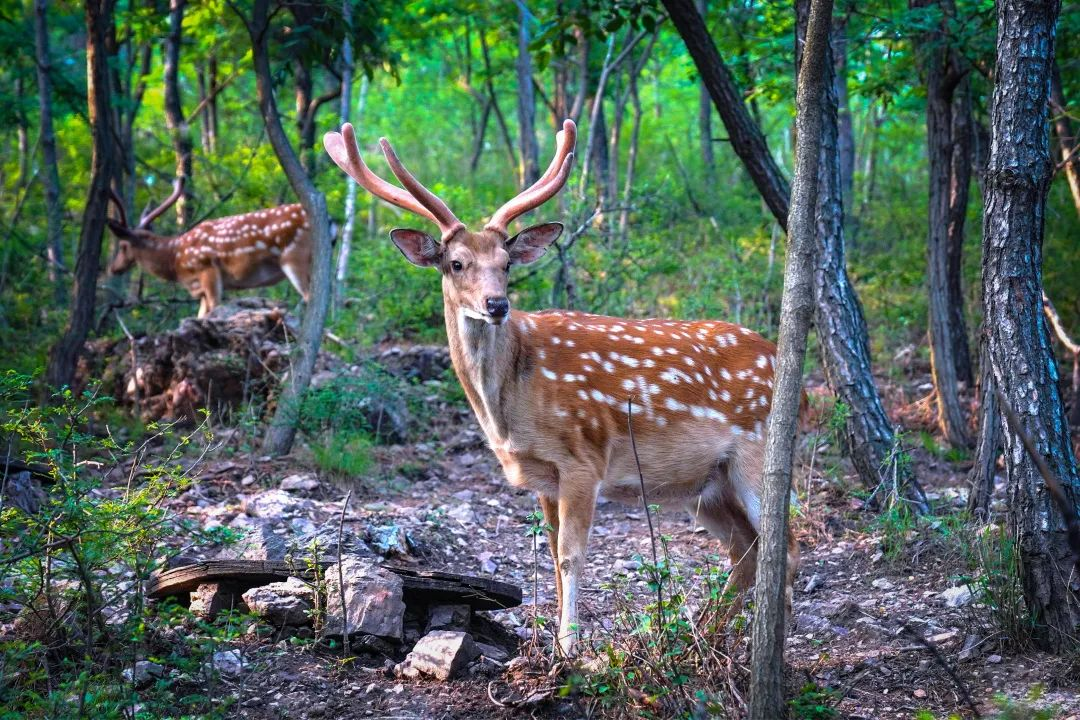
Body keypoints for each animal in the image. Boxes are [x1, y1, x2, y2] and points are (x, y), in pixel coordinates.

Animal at [106, 180, 313, 317]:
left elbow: (214, 309)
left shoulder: (207, 269)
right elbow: (201, 315)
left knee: (311, 297)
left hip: (296, 257)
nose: (113, 268)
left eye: (123, 246)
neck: (175, 259)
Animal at [324, 120, 799, 656]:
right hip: (707, 485)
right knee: (746, 552)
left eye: (507, 262)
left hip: (757, 454)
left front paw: (570, 651)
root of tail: (789, 371)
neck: (511, 406)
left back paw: (771, 647)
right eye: (456, 263)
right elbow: (551, 556)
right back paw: (703, 637)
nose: (497, 305)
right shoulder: (543, 477)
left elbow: (572, 557)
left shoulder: (583, 459)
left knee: (787, 546)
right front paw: (553, 642)